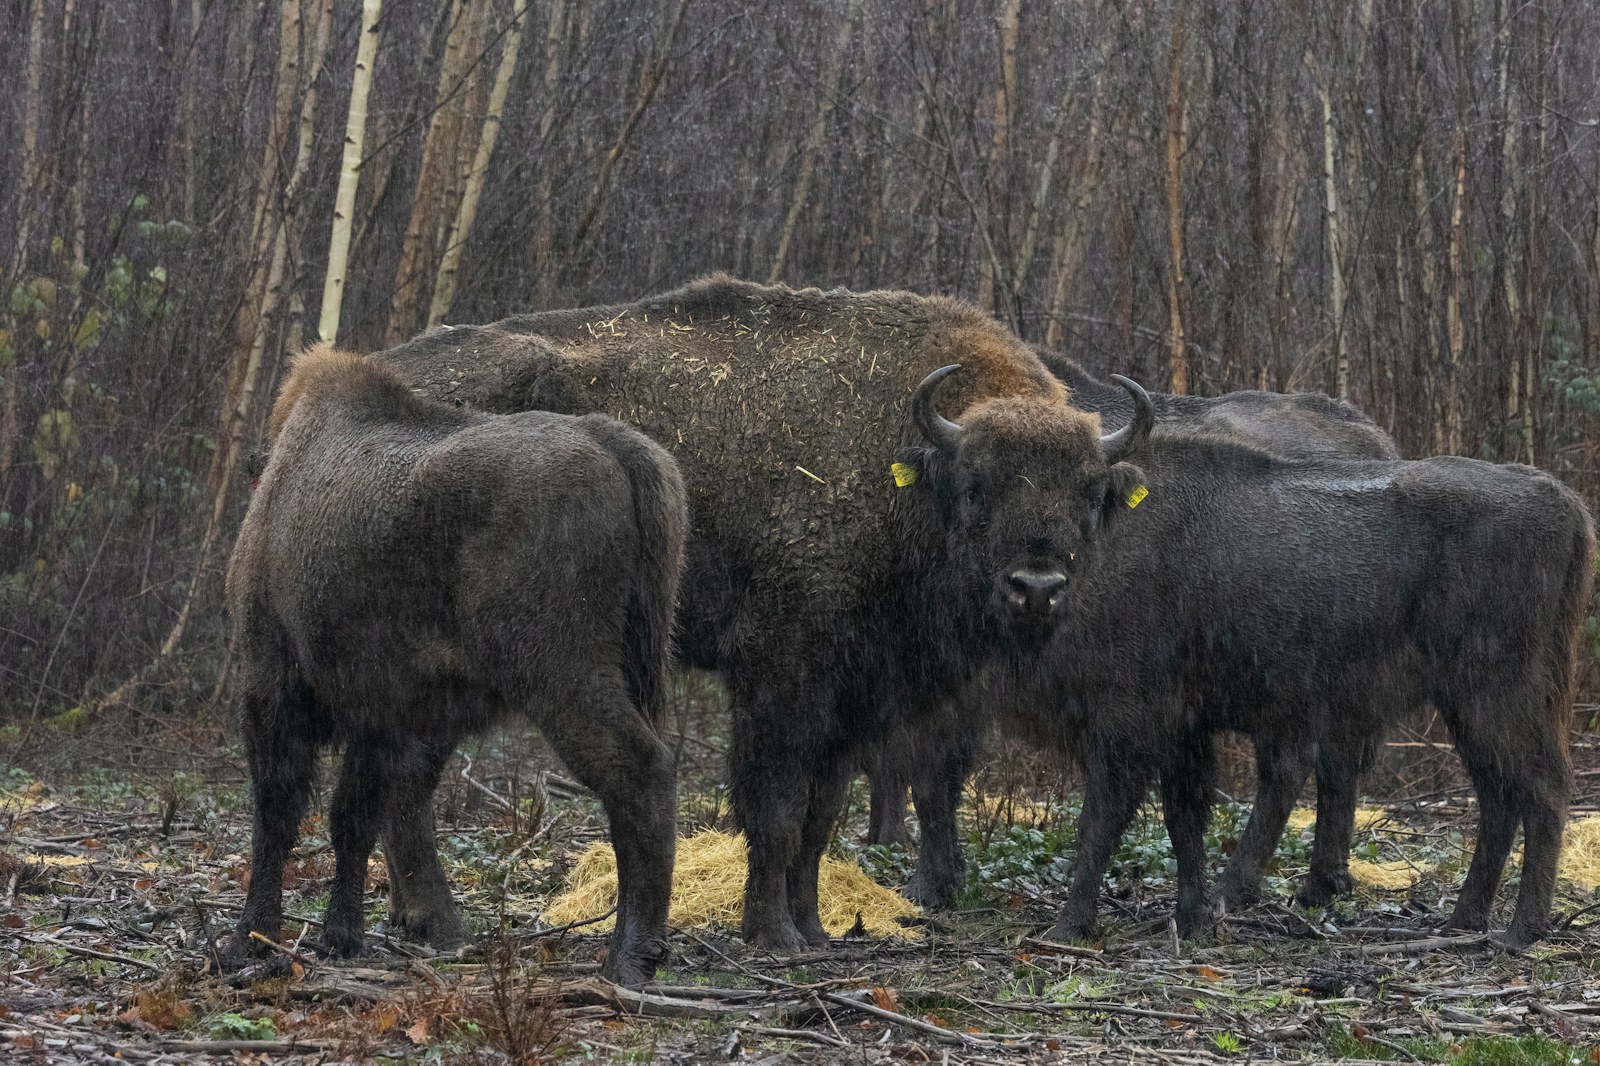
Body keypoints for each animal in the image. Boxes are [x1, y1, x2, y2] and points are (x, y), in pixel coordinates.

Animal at [225, 344, 688, 985]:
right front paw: (340, 938)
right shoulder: (380, 718)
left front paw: (248, 940)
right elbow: (352, 820)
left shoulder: (271, 688)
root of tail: (611, 442)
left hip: (561, 677)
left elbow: (278, 815)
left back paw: (629, 955)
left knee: (641, 770)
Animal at [374, 273, 1152, 947]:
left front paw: (814, 931)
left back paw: (420, 922)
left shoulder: (854, 694)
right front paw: (772, 935)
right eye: (977, 484)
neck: (907, 467)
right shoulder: (780, 675)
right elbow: (773, 808)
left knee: (407, 772)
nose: (1036, 587)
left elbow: (820, 815)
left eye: (1090, 491)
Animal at [864, 352, 1401, 909]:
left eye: (1090, 495)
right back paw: (1317, 884)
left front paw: (924, 883)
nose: (1035, 589)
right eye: (974, 488)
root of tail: (1374, 439)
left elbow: (933, 773)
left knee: (1300, 767)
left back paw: (1250, 886)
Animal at [896, 379, 1593, 941]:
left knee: (1543, 790)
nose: (1036, 587)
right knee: (1498, 796)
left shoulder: (1127, 724)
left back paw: (1519, 932)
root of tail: (1565, 503)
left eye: (1089, 492)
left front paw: (1071, 925)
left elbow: (1104, 820)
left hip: (1501, 696)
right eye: (974, 488)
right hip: (1467, 705)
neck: (1116, 536)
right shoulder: (1183, 729)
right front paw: (1193, 917)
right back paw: (1463, 920)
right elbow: (1184, 819)